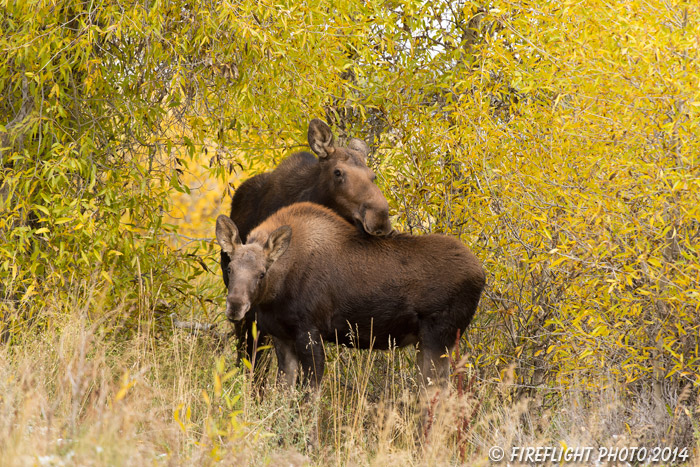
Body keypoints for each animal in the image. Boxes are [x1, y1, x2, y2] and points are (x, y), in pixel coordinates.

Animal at [216, 204, 484, 392]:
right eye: (230, 268)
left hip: (438, 338)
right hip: (428, 343)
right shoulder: (282, 337)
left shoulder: (310, 333)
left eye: (262, 273)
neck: (276, 294)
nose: (235, 306)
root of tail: (482, 275)